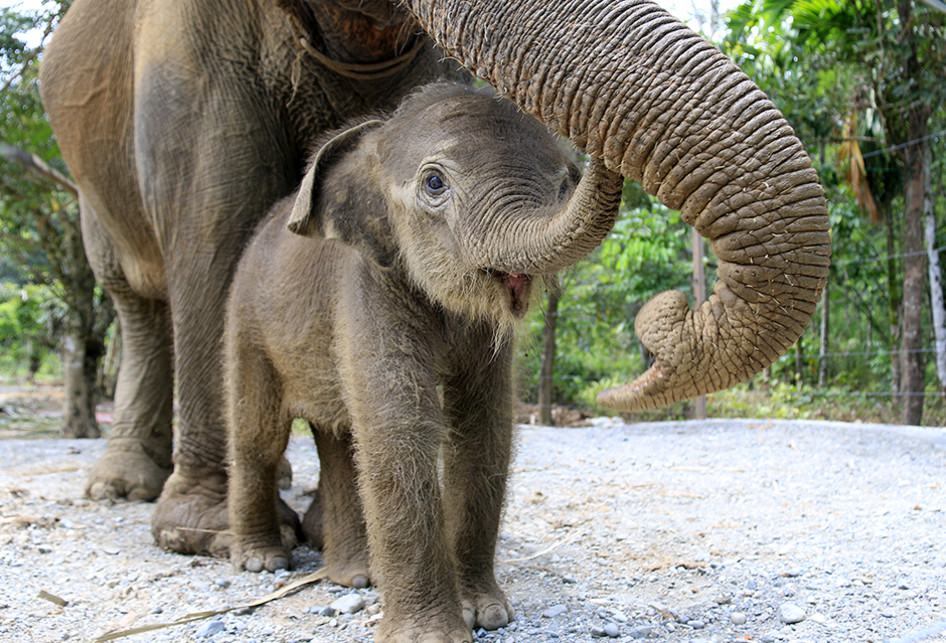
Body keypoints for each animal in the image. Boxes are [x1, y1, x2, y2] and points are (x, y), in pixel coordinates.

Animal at [40, 0, 828, 552]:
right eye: (434, 183)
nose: (591, 161)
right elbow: (214, 219)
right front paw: (205, 537)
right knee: (134, 297)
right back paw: (130, 491)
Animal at [225, 83, 624, 640]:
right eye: (434, 183)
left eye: (565, 181)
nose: (604, 152)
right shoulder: (369, 283)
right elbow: (401, 426)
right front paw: (432, 635)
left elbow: (483, 427)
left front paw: (487, 614)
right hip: (247, 321)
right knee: (260, 434)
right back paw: (263, 562)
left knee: (340, 437)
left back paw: (356, 576)